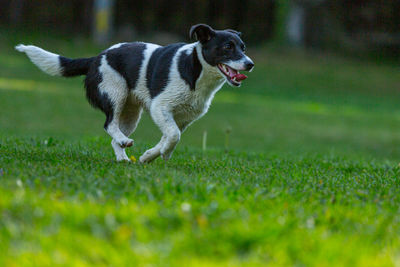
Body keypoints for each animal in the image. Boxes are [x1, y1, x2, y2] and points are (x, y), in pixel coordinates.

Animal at [15, 24, 255, 164]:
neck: (195, 69)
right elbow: (173, 136)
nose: (250, 64)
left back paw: (123, 157)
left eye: (243, 47)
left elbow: (170, 136)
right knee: (109, 125)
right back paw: (124, 142)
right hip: (115, 93)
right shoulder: (160, 107)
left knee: (114, 138)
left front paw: (150, 155)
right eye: (227, 47)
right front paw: (159, 154)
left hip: (131, 113)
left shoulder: (182, 118)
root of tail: (96, 58)